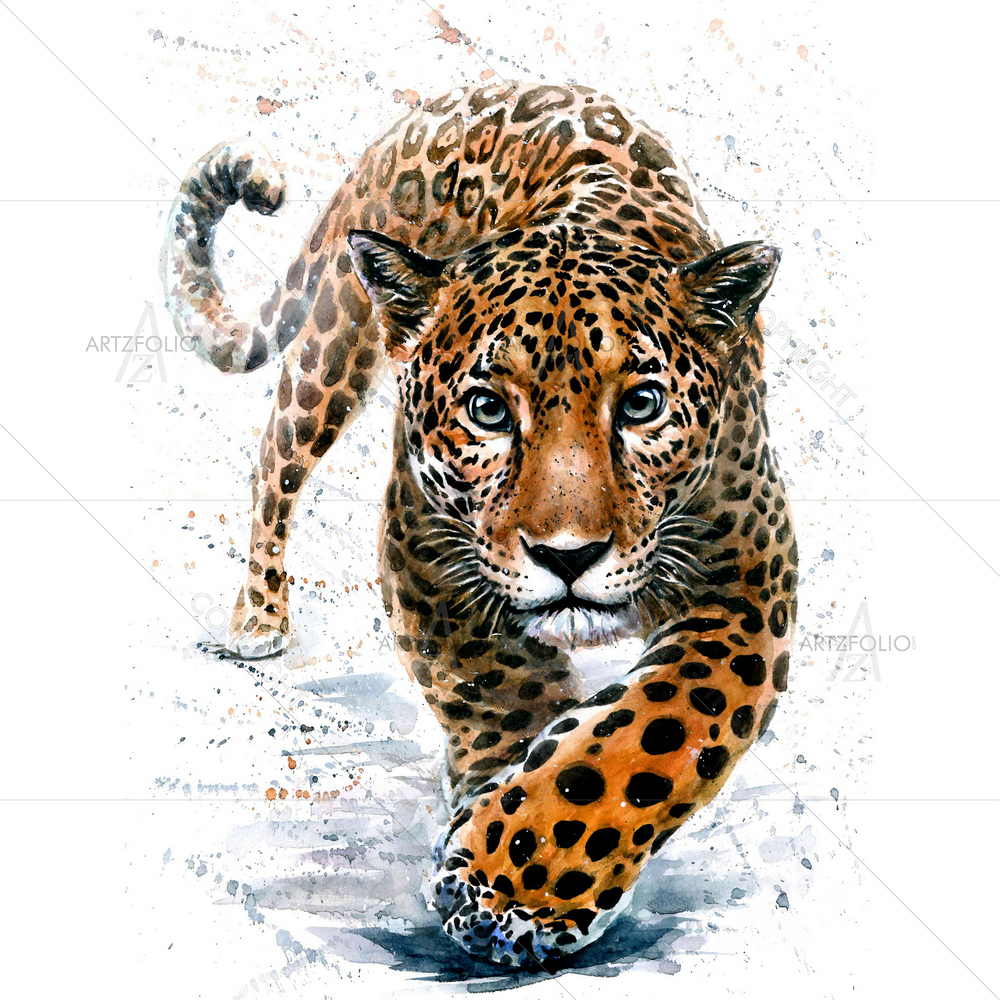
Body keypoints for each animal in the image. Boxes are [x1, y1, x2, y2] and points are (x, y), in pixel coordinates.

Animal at [162, 80, 796, 969]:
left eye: (642, 404)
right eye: (488, 410)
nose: (569, 556)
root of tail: (457, 95)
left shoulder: (745, 583)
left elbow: (653, 731)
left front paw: (516, 882)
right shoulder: (426, 551)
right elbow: (499, 692)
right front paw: (505, 861)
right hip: (335, 342)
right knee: (275, 460)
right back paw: (258, 617)